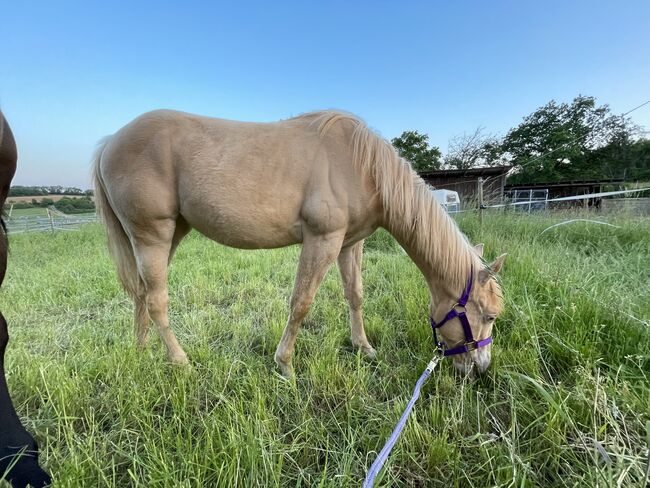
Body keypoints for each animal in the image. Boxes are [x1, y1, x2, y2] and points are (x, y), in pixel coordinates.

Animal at [92, 110, 506, 378]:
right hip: (153, 236)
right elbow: (301, 302)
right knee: (157, 300)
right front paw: (285, 364)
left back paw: (142, 351)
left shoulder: (349, 244)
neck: (363, 167)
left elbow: (355, 294)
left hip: (167, 236)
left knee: (142, 293)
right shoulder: (322, 240)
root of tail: (110, 142)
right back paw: (180, 362)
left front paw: (363, 347)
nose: (481, 369)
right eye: (488, 316)